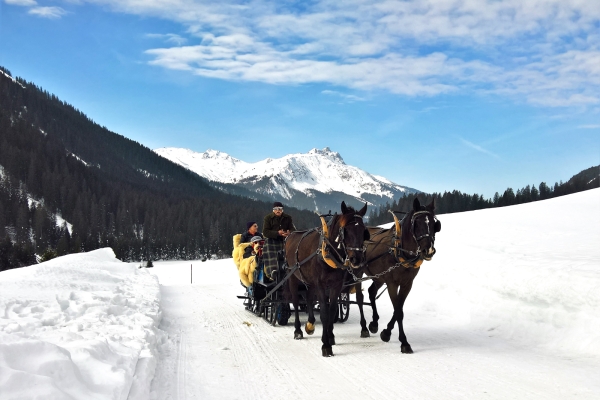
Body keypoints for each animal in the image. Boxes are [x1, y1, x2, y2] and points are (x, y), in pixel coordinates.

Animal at [284, 202, 368, 358]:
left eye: (363, 230)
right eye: (345, 230)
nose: (357, 259)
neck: (328, 252)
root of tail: (290, 235)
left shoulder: (336, 285)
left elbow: (332, 310)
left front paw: (330, 337)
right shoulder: (321, 285)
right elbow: (324, 312)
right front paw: (326, 345)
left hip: (309, 281)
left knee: (309, 298)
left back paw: (310, 324)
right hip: (293, 277)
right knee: (296, 301)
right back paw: (298, 330)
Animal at [354, 197, 438, 354]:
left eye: (434, 224)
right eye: (417, 223)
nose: (428, 250)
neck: (400, 251)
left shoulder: (407, 284)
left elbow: (399, 308)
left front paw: (386, 332)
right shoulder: (392, 283)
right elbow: (398, 311)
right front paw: (404, 342)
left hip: (379, 277)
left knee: (371, 292)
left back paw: (374, 323)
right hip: (358, 272)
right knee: (360, 298)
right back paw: (364, 327)